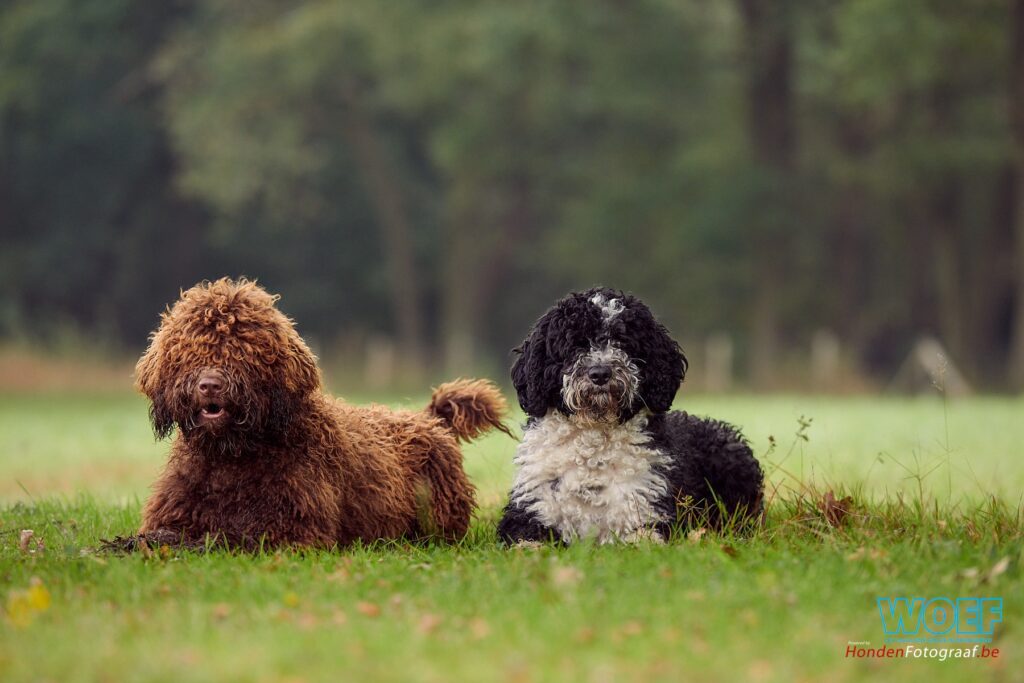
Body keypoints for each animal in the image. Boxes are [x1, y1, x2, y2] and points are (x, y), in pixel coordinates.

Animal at [132, 278, 507, 548]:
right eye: (190, 348)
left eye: (244, 349)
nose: (210, 385)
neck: (230, 458)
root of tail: (429, 418)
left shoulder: (296, 531)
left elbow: (225, 540)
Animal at [495, 288, 761, 544]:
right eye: (575, 344)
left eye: (623, 342)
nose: (600, 373)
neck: (593, 450)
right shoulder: (531, 508)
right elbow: (527, 542)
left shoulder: (645, 509)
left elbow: (642, 542)